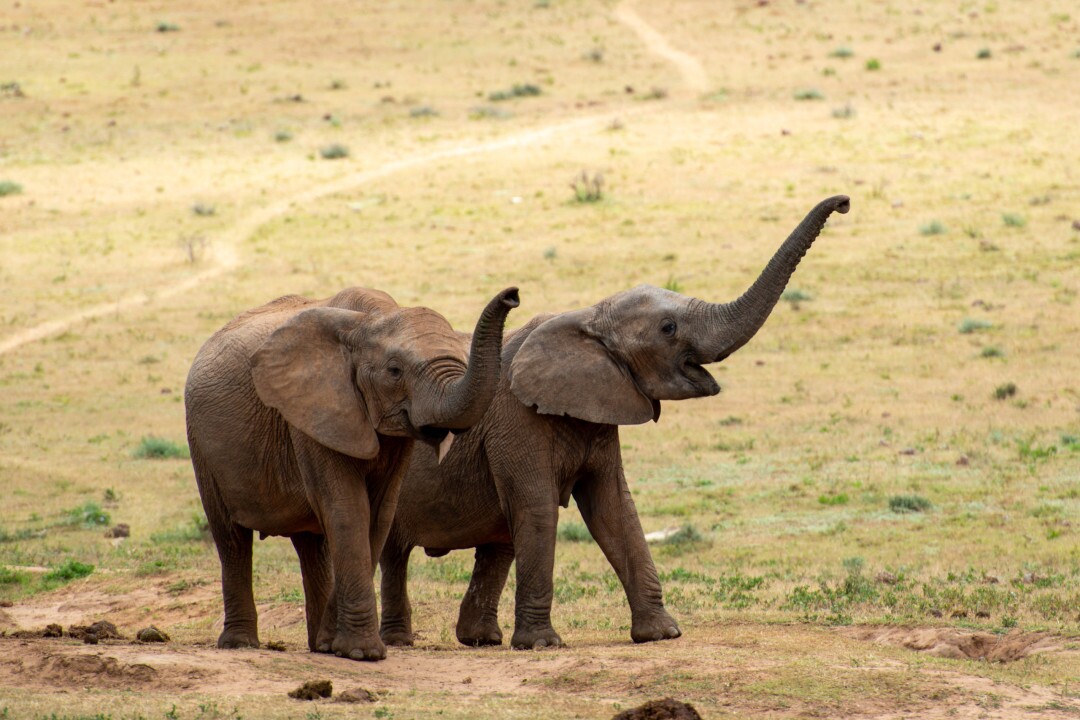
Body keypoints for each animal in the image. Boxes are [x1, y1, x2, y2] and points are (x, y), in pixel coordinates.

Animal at [183, 284, 520, 660]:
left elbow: (379, 514)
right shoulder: (313, 409)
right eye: (394, 371)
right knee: (231, 538)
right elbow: (348, 508)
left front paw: (336, 645)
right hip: (202, 446)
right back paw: (240, 643)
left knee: (311, 546)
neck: (368, 321)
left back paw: (318, 646)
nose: (512, 294)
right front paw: (363, 653)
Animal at [380, 194, 851, 651]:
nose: (845, 203)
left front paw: (661, 635)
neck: (586, 317)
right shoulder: (515, 420)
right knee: (397, 550)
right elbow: (538, 508)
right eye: (668, 328)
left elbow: (614, 507)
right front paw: (543, 645)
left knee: (495, 542)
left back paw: (480, 640)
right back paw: (402, 642)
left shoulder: (602, 411)